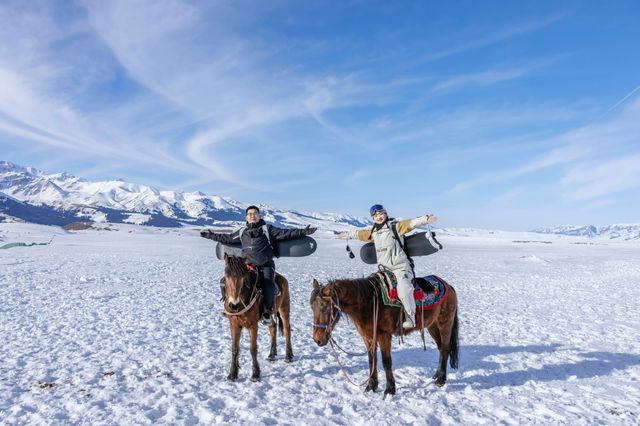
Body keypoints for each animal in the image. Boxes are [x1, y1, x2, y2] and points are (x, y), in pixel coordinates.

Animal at [308, 274, 456, 398]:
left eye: (324, 306)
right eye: (312, 307)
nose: (317, 339)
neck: (369, 304)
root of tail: (448, 286)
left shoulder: (384, 336)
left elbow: (386, 362)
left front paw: (390, 390)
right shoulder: (368, 337)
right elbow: (371, 360)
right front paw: (371, 386)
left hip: (444, 325)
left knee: (445, 348)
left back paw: (441, 380)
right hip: (432, 326)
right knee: (440, 348)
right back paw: (437, 375)